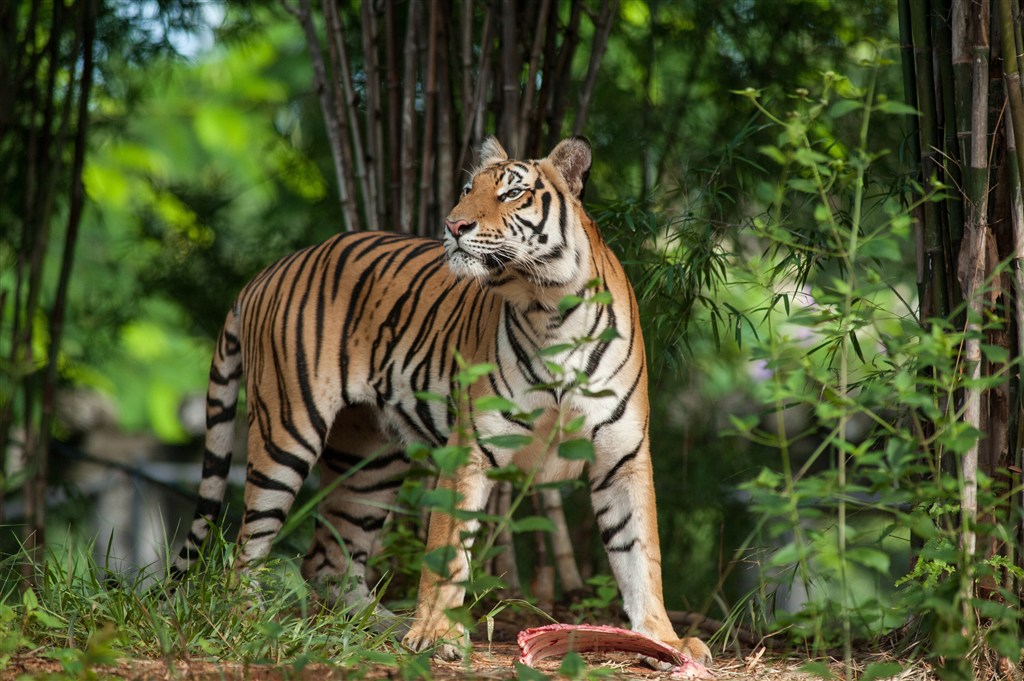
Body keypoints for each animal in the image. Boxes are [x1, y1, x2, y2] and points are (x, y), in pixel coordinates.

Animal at [172, 137, 708, 663]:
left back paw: (379, 626)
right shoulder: (471, 449)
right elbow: (448, 551)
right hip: (287, 432)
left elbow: (640, 552)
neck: (552, 307)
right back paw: (250, 621)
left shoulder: (623, 455)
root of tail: (268, 271)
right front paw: (435, 634)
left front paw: (664, 638)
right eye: (468, 189)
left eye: (512, 193)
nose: (453, 224)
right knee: (247, 546)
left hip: (369, 462)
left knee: (328, 559)